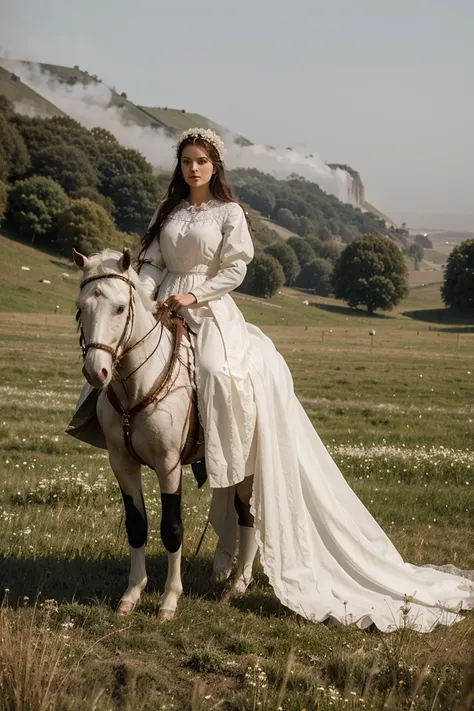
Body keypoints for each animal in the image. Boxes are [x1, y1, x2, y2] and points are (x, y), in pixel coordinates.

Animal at [72, 248, 256, 620]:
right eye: (81, 307)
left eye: (120, 308)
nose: (96, 372)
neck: (137, 386)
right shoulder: (122, 464)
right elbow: (136, 526)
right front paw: (132, 594)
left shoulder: (169, 465)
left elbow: (172, 528)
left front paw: (170, 600)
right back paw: (227, 572)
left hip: (247, 469)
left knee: (248, 516)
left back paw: (239, 585)